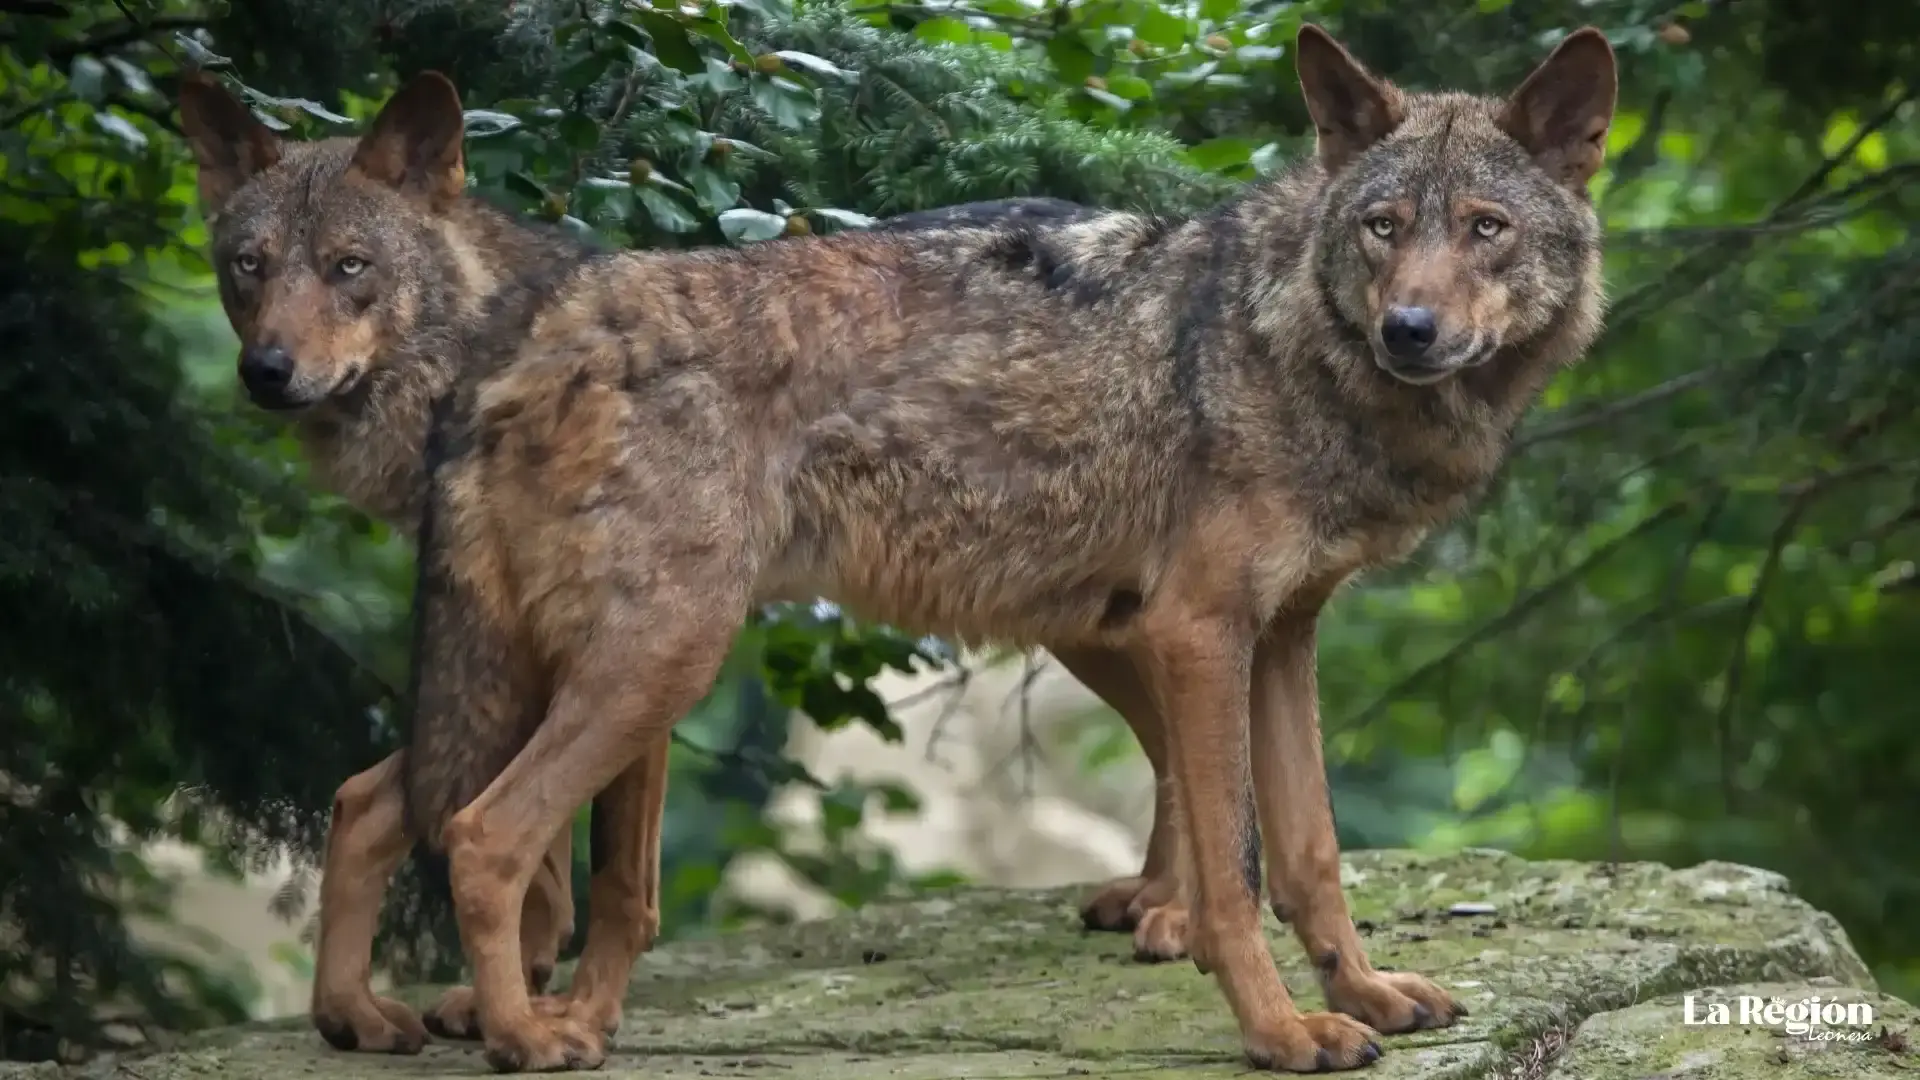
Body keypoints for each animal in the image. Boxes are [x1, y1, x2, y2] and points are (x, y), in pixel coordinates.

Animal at [183, 18, 1615, 1073]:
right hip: (659, 659)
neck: (1288, 344)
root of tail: (537, 337)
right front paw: (1280, 1034)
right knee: (480, 832)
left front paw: (1364, 997)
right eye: (1384, 227)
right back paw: (528, 1041)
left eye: (1483, 227)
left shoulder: (1280, 639)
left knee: (387, 802)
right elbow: (1237, 877)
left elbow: (1309, 853)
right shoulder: (1204, 628)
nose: (1413, 329)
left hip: (602, 660)